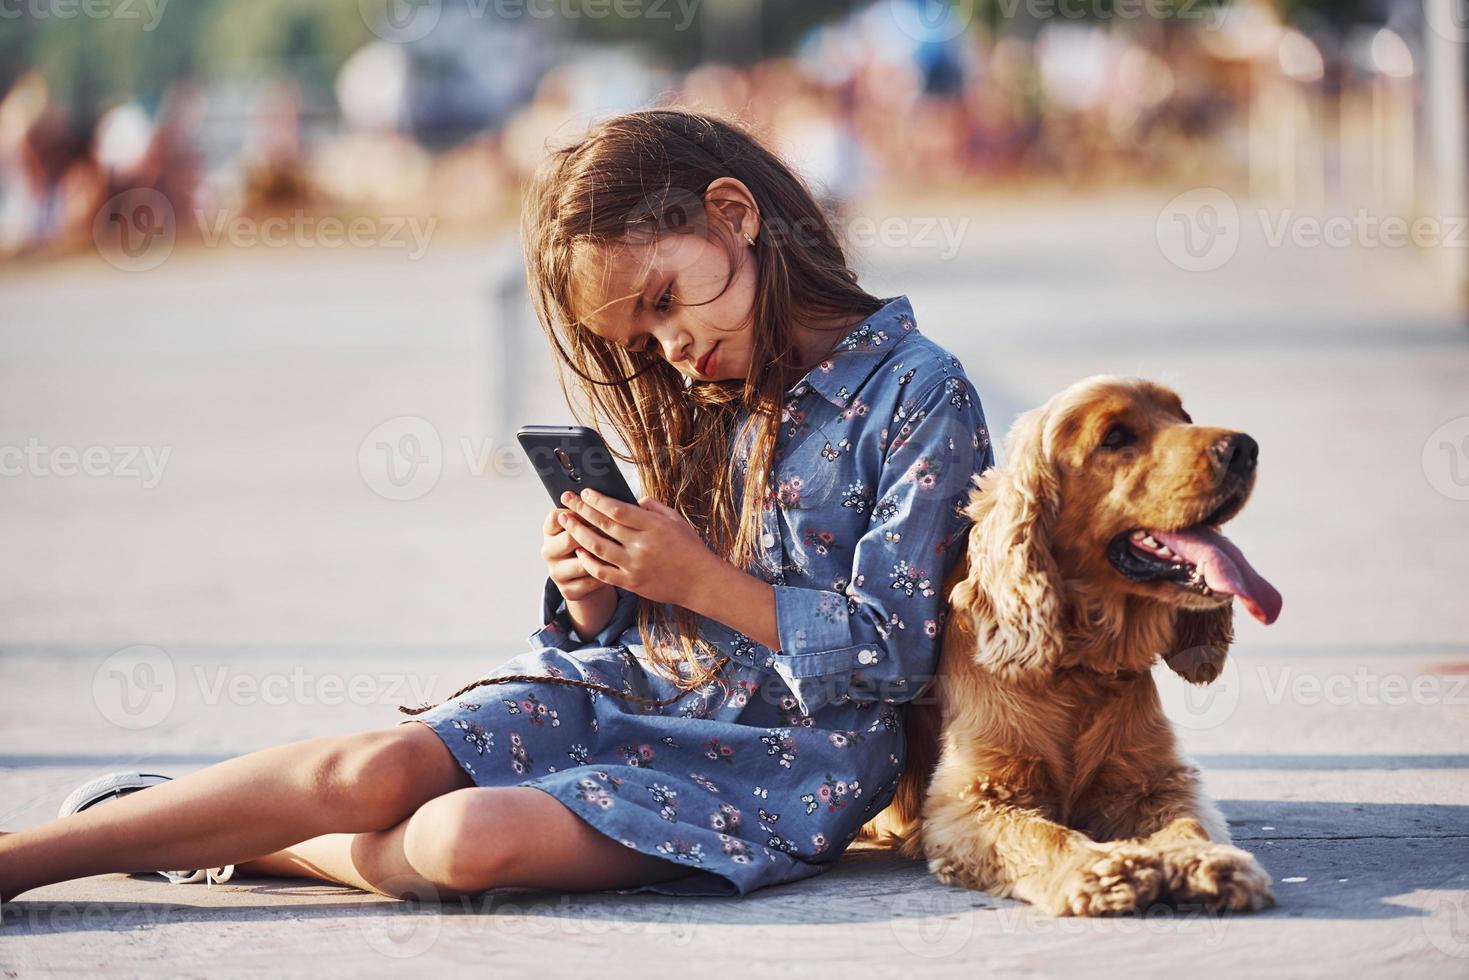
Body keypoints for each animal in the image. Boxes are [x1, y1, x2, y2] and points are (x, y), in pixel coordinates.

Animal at [857, 379, 1286, 922]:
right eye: (1116, 437)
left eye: (1183, 417)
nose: (1244, 449)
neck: (1081, 667)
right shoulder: (973, 798)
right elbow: (1042, 836)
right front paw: (1103, 869)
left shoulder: (1153, 779)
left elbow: (1187, 821)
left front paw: (1207, 860)